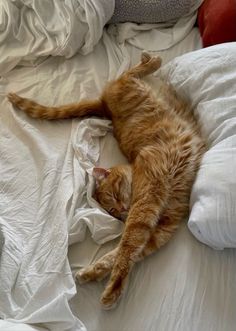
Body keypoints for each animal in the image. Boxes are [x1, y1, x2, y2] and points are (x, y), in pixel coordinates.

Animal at [8, 52, 206, 308]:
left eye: (114, 195)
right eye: (111, 210)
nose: (121, 210)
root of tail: (103, 106)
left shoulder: (146, 207)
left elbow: (127, 248)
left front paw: (113, 287)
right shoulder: (162, 228)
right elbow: (125, 252)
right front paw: (94, 273)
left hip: (132, 85)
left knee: (130, 72)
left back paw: (151, 60)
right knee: (129, 73)